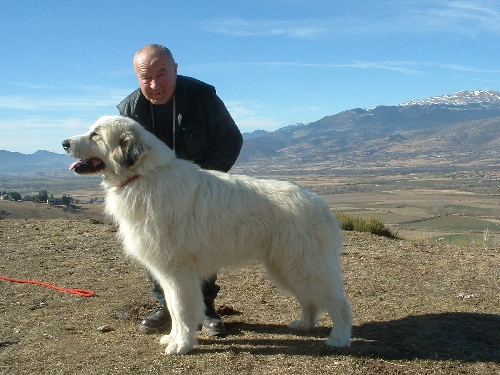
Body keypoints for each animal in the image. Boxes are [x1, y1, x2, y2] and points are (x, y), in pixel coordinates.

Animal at [62, 117, 352, 356]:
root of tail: (319, 202)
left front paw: (182, 344)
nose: (64, 142)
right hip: (286, 267)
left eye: (96, 134)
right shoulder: (168, 272)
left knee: (339, 303)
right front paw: (174, 338)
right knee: (309, 299)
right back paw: (305, 323)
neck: (144, 175)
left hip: (303, 265)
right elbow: (173, 307)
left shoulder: (177, 270)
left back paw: (339, 338)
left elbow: (181, 308)